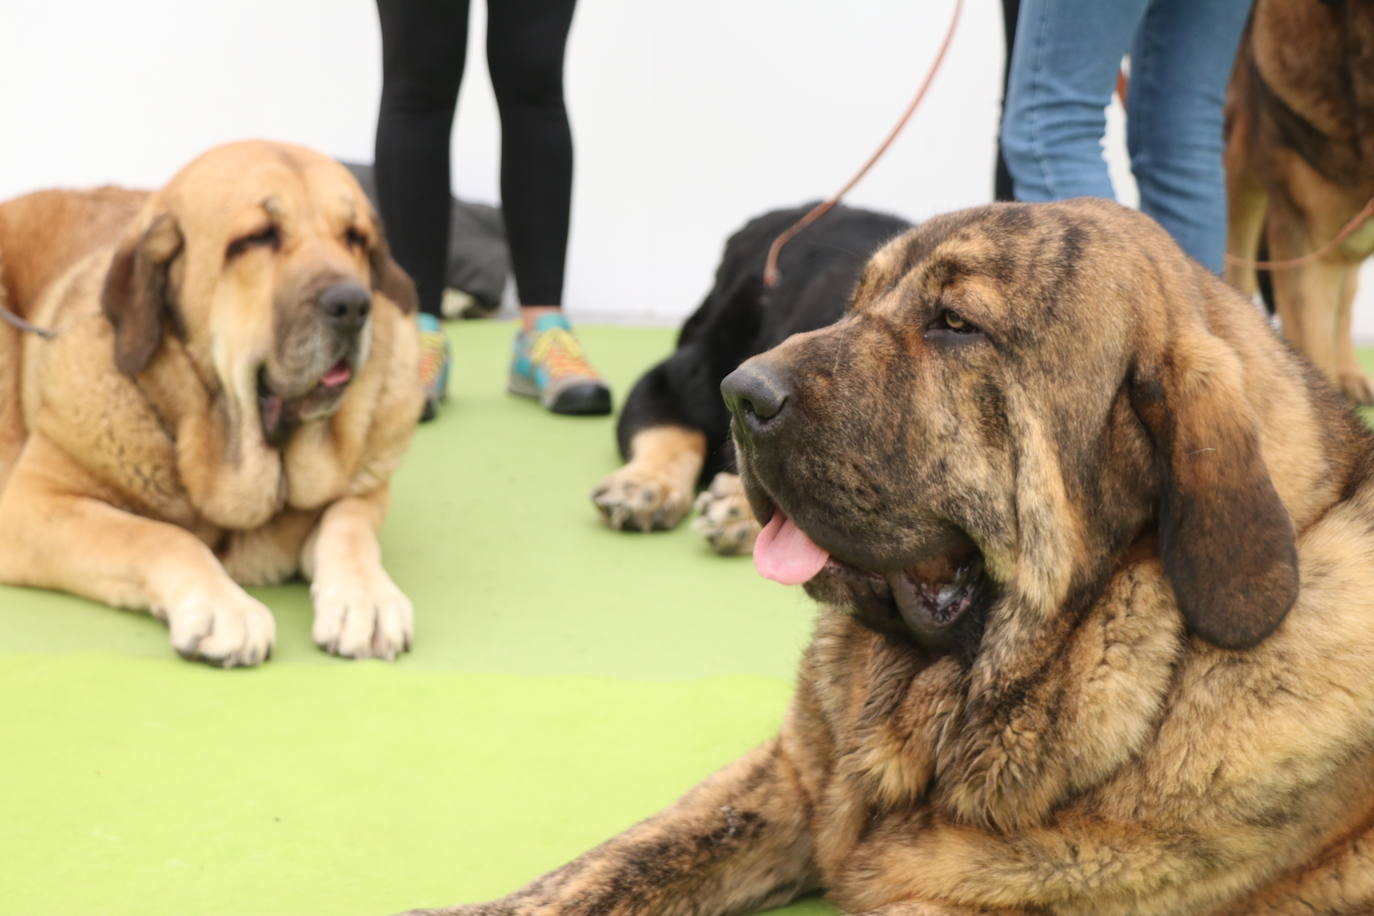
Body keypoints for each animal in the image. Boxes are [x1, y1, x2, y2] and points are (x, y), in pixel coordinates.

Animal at [0, 141, 423, 667]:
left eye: (356, 238)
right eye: (258, 237)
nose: (353, 304)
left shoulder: (365, 488)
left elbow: (348, 527)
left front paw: (365, 599)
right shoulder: (34, 500)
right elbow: (158, 535)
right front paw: (225, 608)